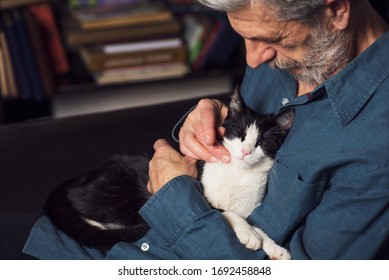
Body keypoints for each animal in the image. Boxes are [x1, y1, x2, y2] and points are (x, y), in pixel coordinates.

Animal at [45, 87, 292, 260]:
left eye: (262, 142)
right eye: (239, 133)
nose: (245, 151)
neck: (237, 175)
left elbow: (253, 222)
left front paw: (275, 248)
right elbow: (217, 211)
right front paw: (248, 233)